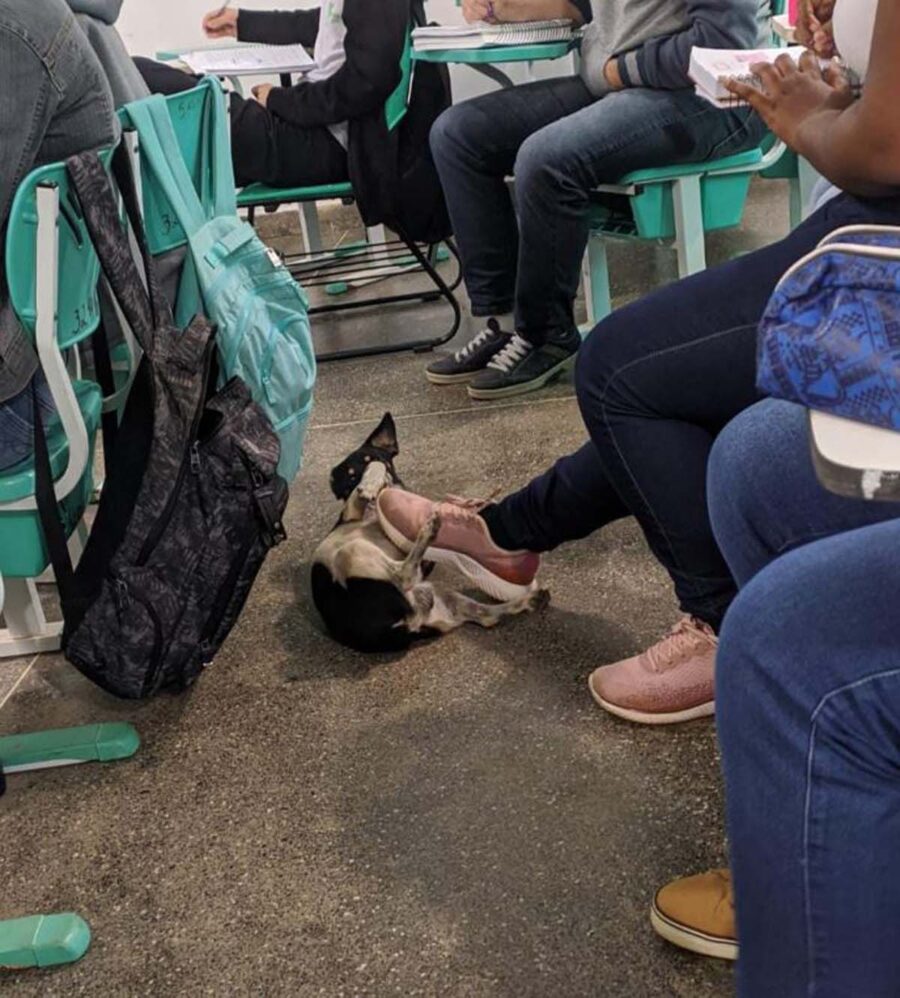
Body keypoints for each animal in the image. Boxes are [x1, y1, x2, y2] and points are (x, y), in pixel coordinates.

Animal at [310, 410, 548, 652]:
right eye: (349, 477)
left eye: (376, 458)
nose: (364, 486)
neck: (372, 514)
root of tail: (403, 630)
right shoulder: (351, 512)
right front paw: (371, 486)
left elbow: (375, 470)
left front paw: (376, 480)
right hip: (354, 553)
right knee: (407, 575)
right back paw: (429, 531)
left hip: (435, 596)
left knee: (484, 615)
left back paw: (527, 601)